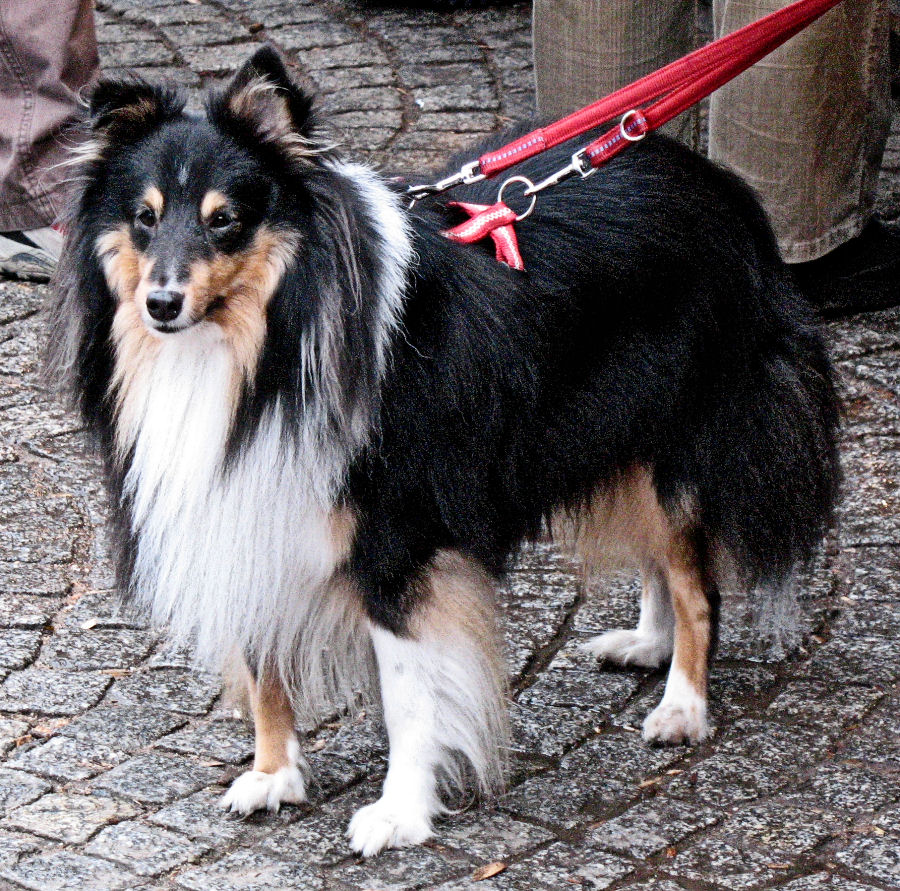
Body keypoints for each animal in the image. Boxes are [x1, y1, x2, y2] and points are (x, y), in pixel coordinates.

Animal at [47, 48, 836, 856]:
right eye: (144, 217)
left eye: (225, 220)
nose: (161, 304)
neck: (263, 344)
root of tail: (710, 177)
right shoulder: (247, 503)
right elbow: (264, 667)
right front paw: (274, 775)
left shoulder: (396, 543)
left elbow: (409, 697)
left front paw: (399, 813)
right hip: (615, 440)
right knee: (660, 562)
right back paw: (648, 643)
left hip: (675, 443)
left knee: (695, 582)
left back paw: (683, 705)